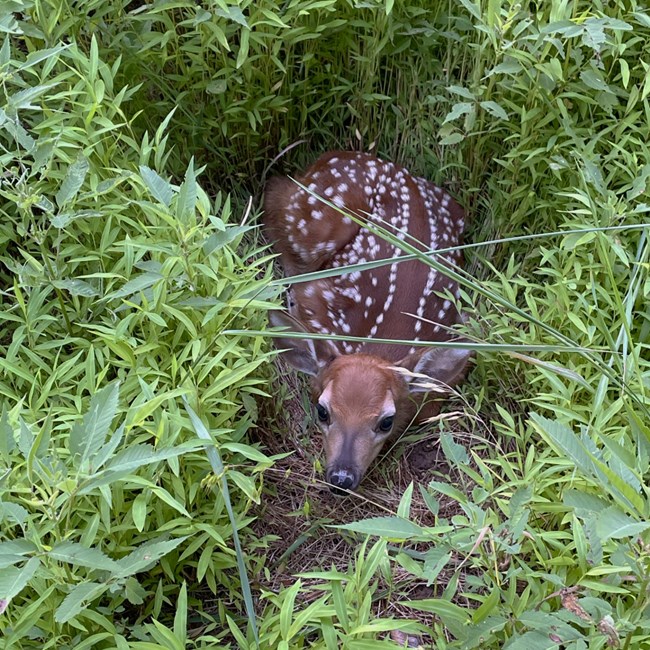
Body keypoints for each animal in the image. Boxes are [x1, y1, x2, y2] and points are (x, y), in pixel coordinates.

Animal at [264, 152, 470, 494]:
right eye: (323, 411)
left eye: (385, 421)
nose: (341, 477)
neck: (382, 342)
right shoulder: (317, 297)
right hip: (312, 217)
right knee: (274, 194)